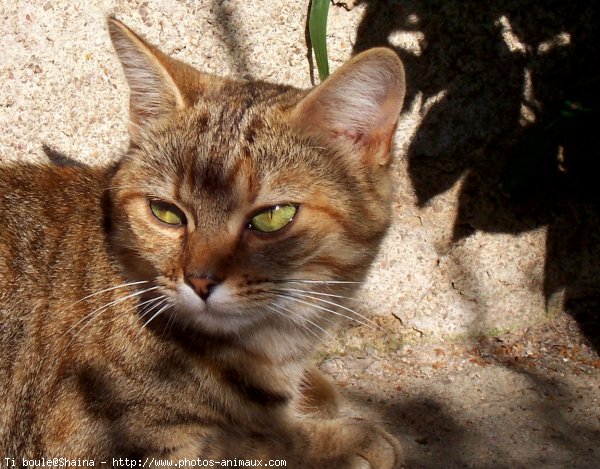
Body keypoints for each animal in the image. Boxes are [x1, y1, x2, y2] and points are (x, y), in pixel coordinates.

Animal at [0, 16, 406, 466]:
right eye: (166, 212)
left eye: (272, 217)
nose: (199, 281)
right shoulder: (103, 444)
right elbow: (258, 443)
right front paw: (345, 441)